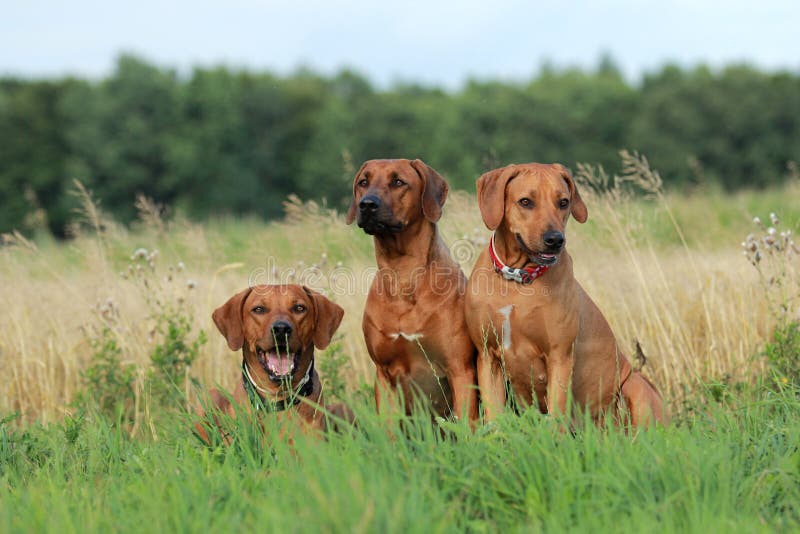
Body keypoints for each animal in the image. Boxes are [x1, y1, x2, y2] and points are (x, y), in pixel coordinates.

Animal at [193, 284, 350, 444]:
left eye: (299, 308)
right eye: (259, 309)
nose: (281, 329)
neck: (277, 397)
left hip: (342, 408)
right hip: (209, 396)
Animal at [346, 159, 478, 422]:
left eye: (398, 181)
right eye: (363, 182)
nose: (367, 204)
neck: (403, 276)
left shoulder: (460, 369)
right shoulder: (384, 375)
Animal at [462, 164, 668, 432]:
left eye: (563, 202)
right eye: (525, 201)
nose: (555, 239)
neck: (518, 280)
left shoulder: (560, 357)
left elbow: (556, 416)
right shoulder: (488, 357)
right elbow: (494, 418)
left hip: (636, 386)